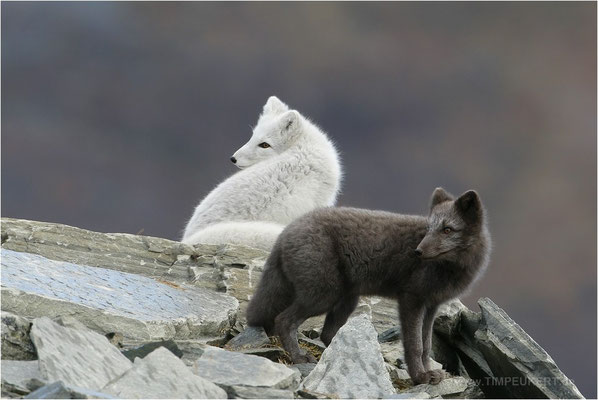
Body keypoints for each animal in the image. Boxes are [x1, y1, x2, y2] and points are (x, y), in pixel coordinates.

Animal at [245, 189, 492, 386]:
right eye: (428, 229)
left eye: (447, 229)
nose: (418, 252)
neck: (450, 267)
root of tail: (285, 232)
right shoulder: (411, 300)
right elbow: (414, 345)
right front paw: (419, 377)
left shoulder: (431, 306)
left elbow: (426, 345)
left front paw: (429, 373)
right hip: (323, 296)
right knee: (284, 320)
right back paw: (299, 357)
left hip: (346, 299)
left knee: (327, 334)